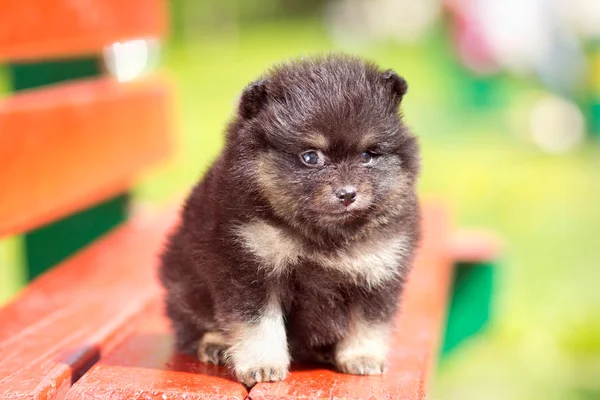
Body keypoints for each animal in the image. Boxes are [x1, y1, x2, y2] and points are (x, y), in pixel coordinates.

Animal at [159, 53, 422, 388]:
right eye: (311, 157)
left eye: (367, 155)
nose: (347, 194)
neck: (323, 236)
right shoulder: (251, 267)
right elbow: (258, 324)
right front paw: (263, 365)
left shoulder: (379, 271)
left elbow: (369, 321)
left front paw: (362, 356)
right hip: (185, 282)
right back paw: (216, 343)